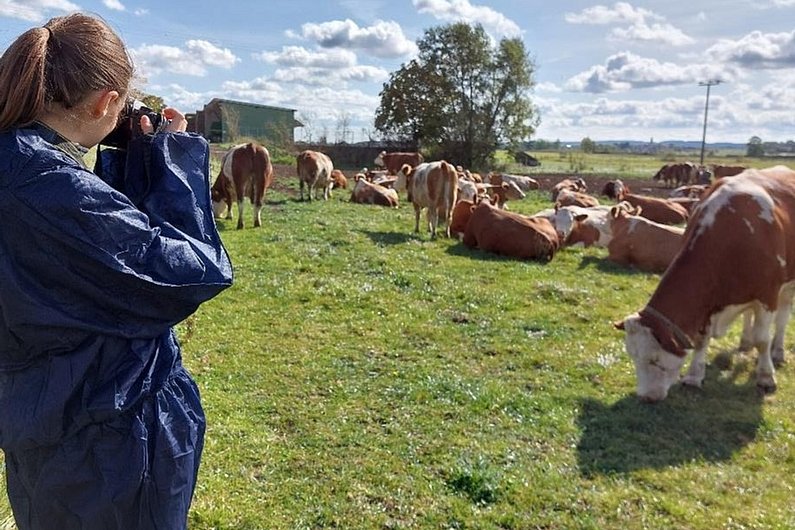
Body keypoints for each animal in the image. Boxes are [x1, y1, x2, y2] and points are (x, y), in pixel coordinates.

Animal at [615, 166, 795, 402]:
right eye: (632, 355)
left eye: (654, 359)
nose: (646, 397)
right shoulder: (709, 303)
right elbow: (701, 339)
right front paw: (693, 376)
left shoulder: (767, 295)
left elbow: (762, 339)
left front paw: (766, 377)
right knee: (749, 315)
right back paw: (745, 342)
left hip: (787, 287)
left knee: (782, 319)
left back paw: (778, 352)